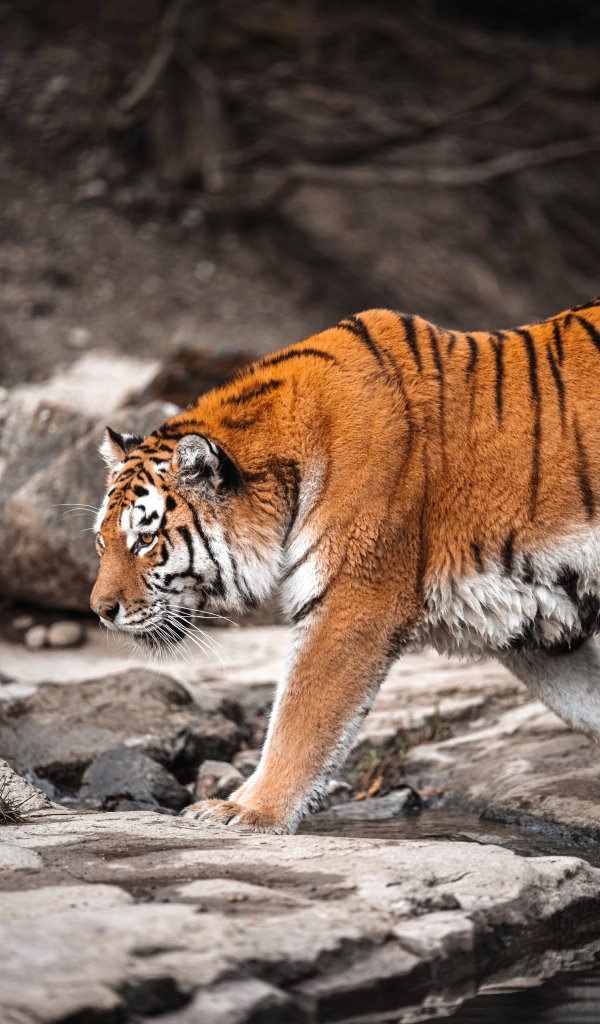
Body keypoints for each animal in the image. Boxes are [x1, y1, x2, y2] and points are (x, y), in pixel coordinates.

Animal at [91, 299, 600, 834]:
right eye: (103, 542)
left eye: (146, 539)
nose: (100, 611)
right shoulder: (530, 618)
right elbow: (587, 702)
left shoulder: (352, 601)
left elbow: (300, 717)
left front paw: (248, 809)